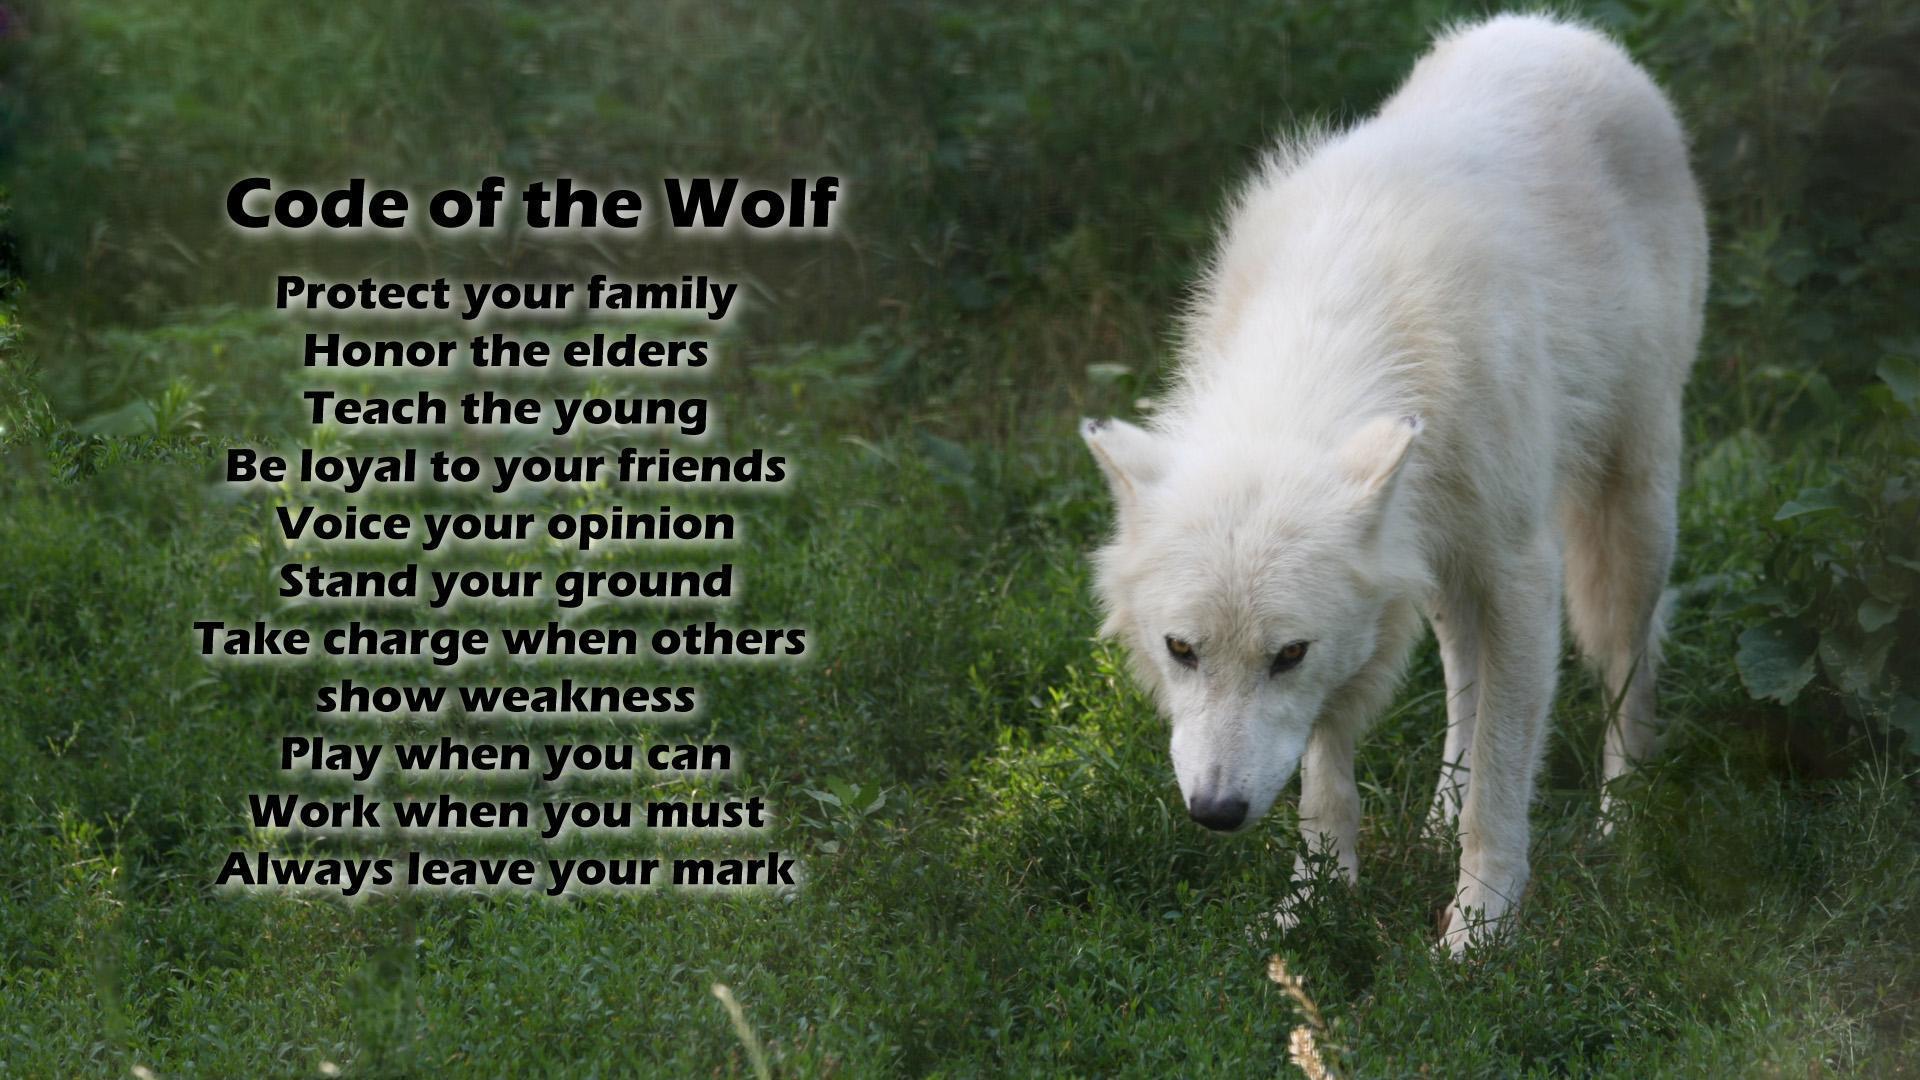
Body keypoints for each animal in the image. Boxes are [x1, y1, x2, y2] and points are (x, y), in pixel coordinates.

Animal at [1081, 14, 1706, 952]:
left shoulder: (1522, 571)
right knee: (1463, 675)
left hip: (1629, 518)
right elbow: (1326, 779)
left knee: (1628, 664)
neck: (1331, 332)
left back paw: (1619, 823)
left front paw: (1479, 935)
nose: (1217, 813)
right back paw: (1438, 815)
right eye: (1181, 650)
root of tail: (1559, 27)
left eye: (1285, 655)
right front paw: (1310, 903)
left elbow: (1505, 777)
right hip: (1444, 567)